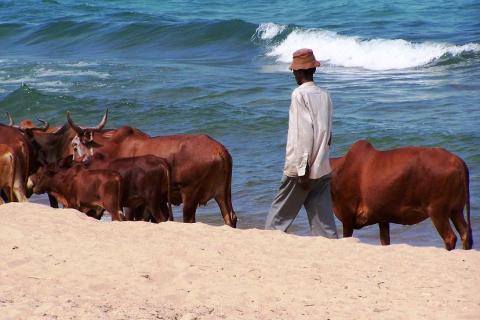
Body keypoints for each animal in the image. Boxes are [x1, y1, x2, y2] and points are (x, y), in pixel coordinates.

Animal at [68, 110, 237, 228]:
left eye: (74, 145)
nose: (73, 164)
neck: (114, 148)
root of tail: (220, 150)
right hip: (223, 193)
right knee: (230, 217)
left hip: (190, 193)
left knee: (189, 219)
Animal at [330, 140, 472, 250]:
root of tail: (457, 161)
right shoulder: (382, 218)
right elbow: (385, 241)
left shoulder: (347, 218)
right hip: (456, 210)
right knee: (465, 234)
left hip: (437, 211)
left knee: (450, 237)